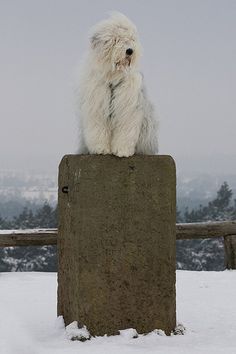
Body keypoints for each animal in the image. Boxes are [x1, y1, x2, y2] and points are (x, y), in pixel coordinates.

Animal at [77, 12, 159, 156]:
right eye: (116, 39)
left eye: (131, 39)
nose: (130, 51)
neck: (113, 78)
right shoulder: (97, 107)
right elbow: (97, 128)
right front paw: (100, 149)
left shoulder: (127, 108)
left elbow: (125, 130)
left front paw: (122, 151)